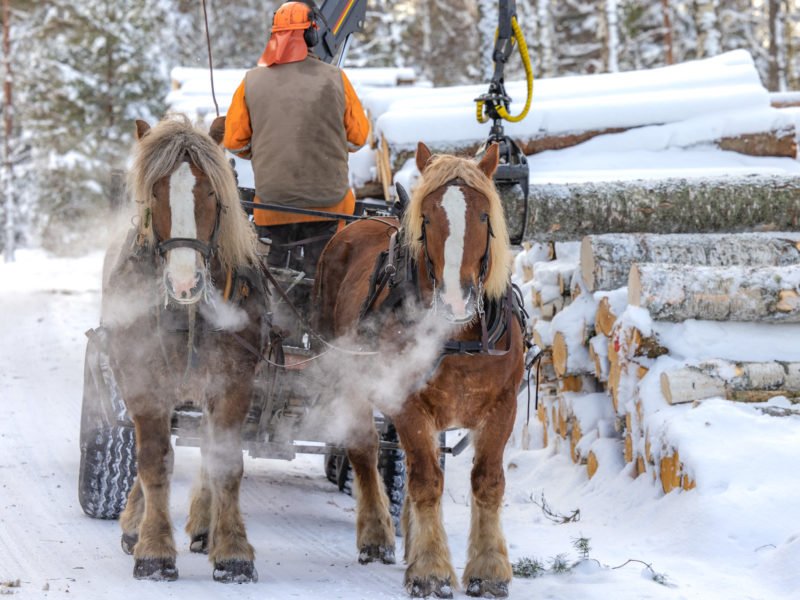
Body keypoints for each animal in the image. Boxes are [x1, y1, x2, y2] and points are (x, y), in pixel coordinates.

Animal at [101, 113, 266, 580]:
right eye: (155, 192)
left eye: (210, 190)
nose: (184, 281)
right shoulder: (143, 381)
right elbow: (154, 461)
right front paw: (154, 549)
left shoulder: (232, 384)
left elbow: (226, 463)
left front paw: (232, 551)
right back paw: (134, 524)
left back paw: (204, 526)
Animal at [316, 143, 528, 596]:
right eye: (427, 217)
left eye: (483, 215)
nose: (456, 300)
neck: (458, 336)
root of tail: (360, 222)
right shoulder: (408, 404)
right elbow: (426, 480)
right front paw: (430, 570)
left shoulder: (502, 407)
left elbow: (487, 481)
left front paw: (488, 570)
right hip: (348, 377)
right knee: (365, 449)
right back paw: (377, 535)